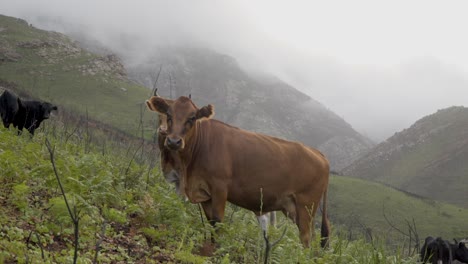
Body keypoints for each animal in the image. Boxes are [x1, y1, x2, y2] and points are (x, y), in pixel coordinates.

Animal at [144, 95, 330, 248]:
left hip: (306, 207)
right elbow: (211, 222)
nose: (173, 141)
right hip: (293, 208)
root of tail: (320, 154)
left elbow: (218, 221)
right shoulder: (204, 192)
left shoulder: (220, 188)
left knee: (306, 240)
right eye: (169, 115)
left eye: (192, 118)